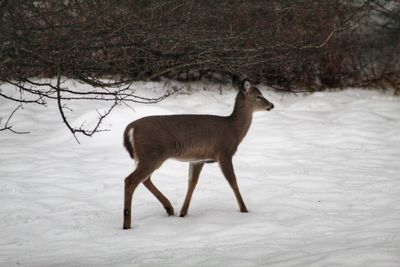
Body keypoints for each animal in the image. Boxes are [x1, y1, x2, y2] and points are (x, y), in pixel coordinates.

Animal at [122, 76, 274, 229]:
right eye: (259, 96)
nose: (272, 105)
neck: (234, 130)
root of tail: (131, 128)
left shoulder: (198, 159)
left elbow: (192, 183)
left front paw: (183, 213)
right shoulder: (224, 152)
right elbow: (233, 181)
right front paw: (244, 210)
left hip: (147, 156)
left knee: (145, 179)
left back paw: (169, 208)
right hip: (152, 154)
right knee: (131, 180)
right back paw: (127, 224)